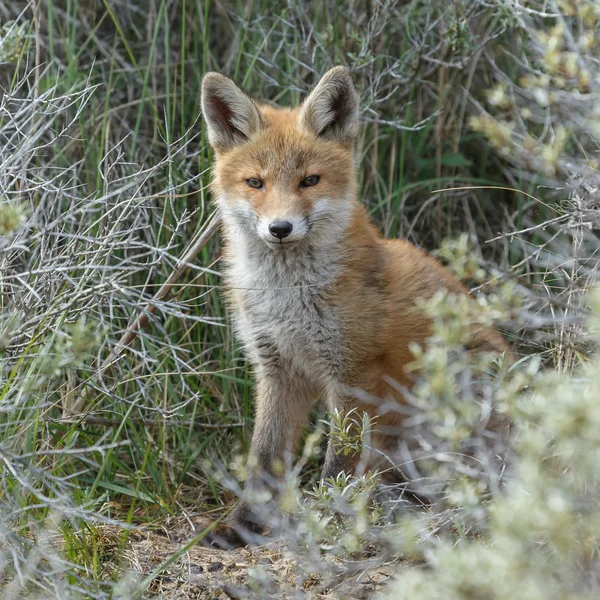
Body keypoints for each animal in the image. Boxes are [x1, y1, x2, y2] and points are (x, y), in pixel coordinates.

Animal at [199, 67, 508, 548]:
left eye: (309, 181)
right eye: (256, 183)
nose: (280, 228)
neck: (288, 298)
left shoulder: (354, 372)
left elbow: (338, 462)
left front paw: (328, 522)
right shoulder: (277, 369)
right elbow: (264, 458)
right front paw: (245, 525)